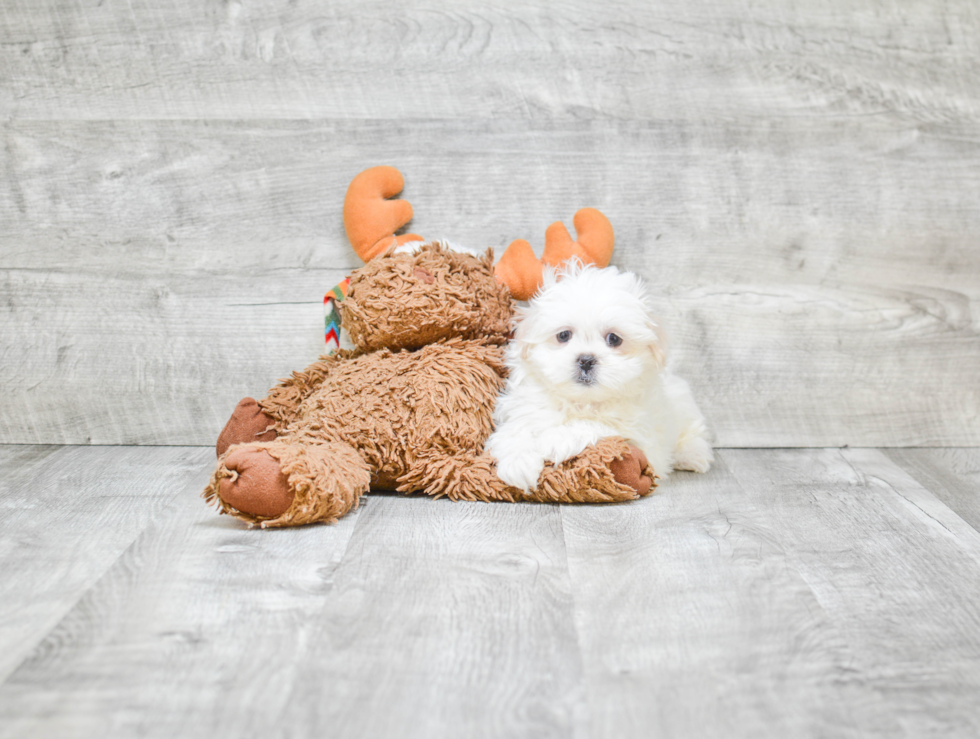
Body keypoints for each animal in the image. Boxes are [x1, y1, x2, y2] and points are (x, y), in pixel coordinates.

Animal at [488, 260, 712, 492]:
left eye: (614, 339)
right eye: (563, 335)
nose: (586, 360)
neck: (581, 402)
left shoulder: (641, 437)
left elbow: (596, 425)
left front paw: (555, 439)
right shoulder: (525, 407)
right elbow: (517, 428)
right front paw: (518, 462)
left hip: (684, 406)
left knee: (694, 434)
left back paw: (693, 456)